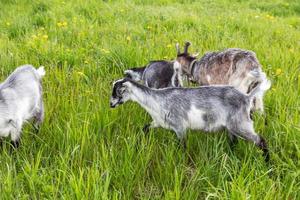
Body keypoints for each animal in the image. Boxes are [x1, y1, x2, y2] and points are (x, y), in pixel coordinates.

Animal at [110, 77, 272, 162]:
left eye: (117, 91)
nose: (111, 104)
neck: (157, 101)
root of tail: (247, 97)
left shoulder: (179, 126)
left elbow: (182, 145)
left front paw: (182, 160)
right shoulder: (158, 122)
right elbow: (144, 128)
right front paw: (138, 142)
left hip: (241, 124)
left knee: (260, 140)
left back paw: (267, 161)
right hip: (233, 126)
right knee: (234, 141)